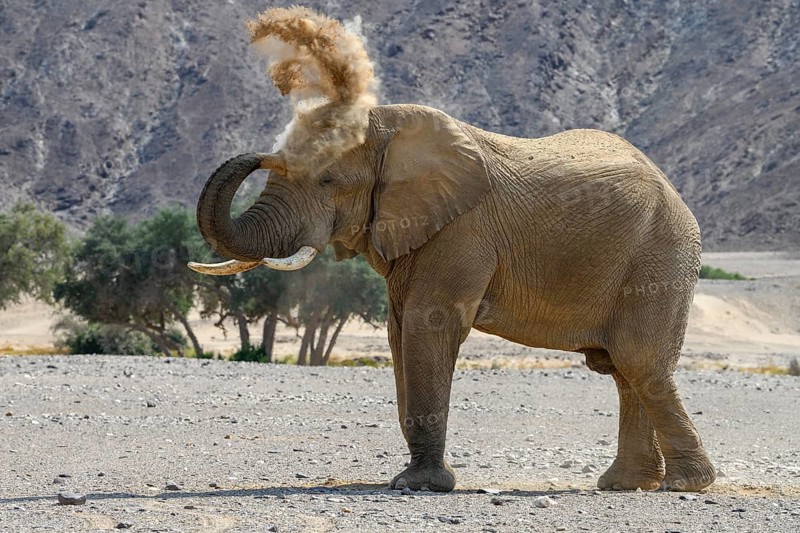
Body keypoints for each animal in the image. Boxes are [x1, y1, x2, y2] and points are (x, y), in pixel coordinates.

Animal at [189, 103, 716, 493]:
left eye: (327, 181)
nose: (259, 155)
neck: (388, 128)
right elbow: (400, 331)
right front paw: (414, 480)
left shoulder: (462, 230)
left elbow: (429, 326)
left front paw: (418, 486)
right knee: (624, 370)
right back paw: (625, 485)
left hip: (660, 257)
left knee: (639, 363)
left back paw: (684, 486)